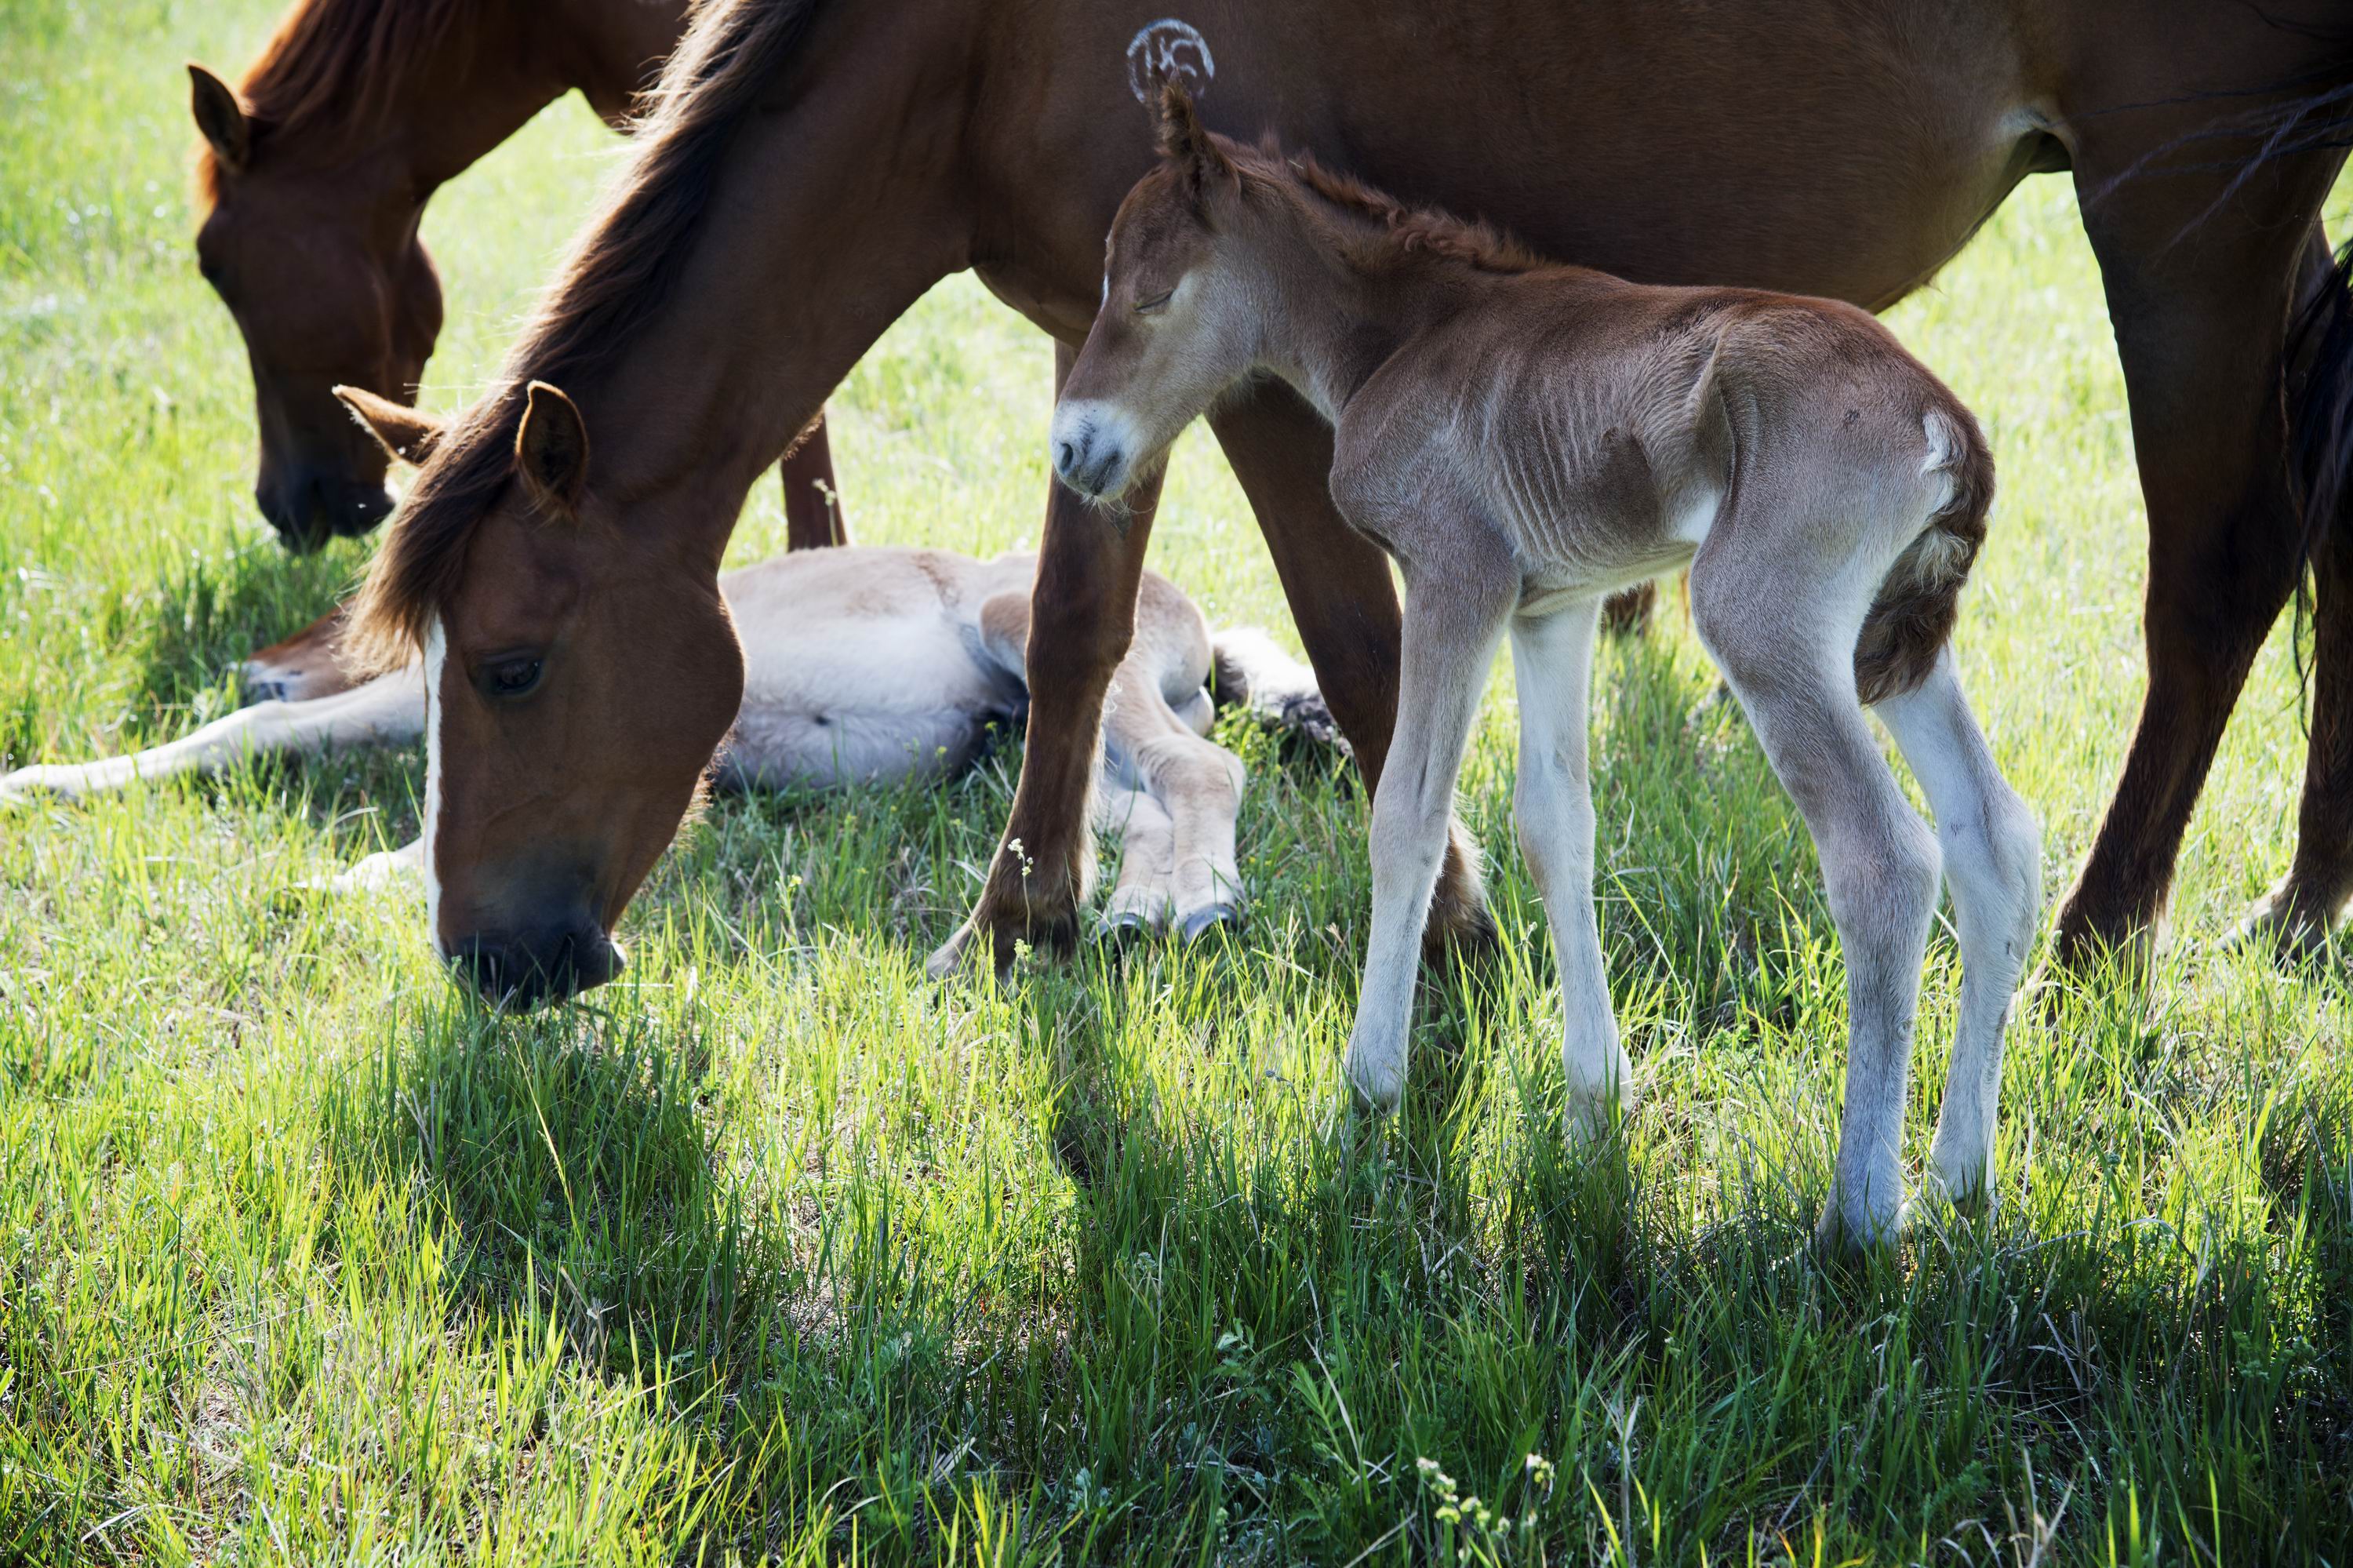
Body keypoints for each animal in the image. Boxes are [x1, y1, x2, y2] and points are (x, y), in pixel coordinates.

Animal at [0, 546, 1337, 941]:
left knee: (1207, 766)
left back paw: (1195, 905)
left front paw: (340, 884)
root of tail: (1192, 620)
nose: (257, 651)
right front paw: (45, 782)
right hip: (1058, 754)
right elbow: (257, 732)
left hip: (1038, 637)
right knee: (1155, 796)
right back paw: (1142, 905)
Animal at [1059, 92, 2052, 1242]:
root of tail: (1948, 425)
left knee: (1885, 860)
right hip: (1892, 649)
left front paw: (1368, 1098)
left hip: (1764, 623)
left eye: (1152, 294)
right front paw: (1592, 1108)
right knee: (1994, 839)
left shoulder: (1458, 575)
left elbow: (1409, 814)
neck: (1407, 332)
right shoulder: (1555, 606)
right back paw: (1958, 1180)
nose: (1073, 446)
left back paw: (1855, 1219)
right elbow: (1555, 825)